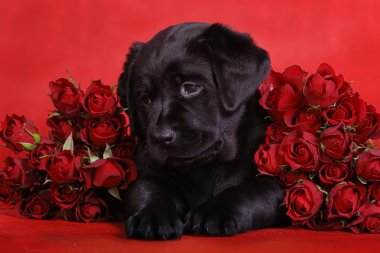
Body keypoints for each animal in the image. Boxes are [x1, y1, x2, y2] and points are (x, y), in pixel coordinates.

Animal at [117, 22, 290, 240]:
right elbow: (147, 189)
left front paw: (215, 211)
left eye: (191, 87)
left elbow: (250, 192)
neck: (203, 168)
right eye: (145, 99)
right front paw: (152, 215)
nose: (160, 137)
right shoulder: (146, 172)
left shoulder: (274, 185)